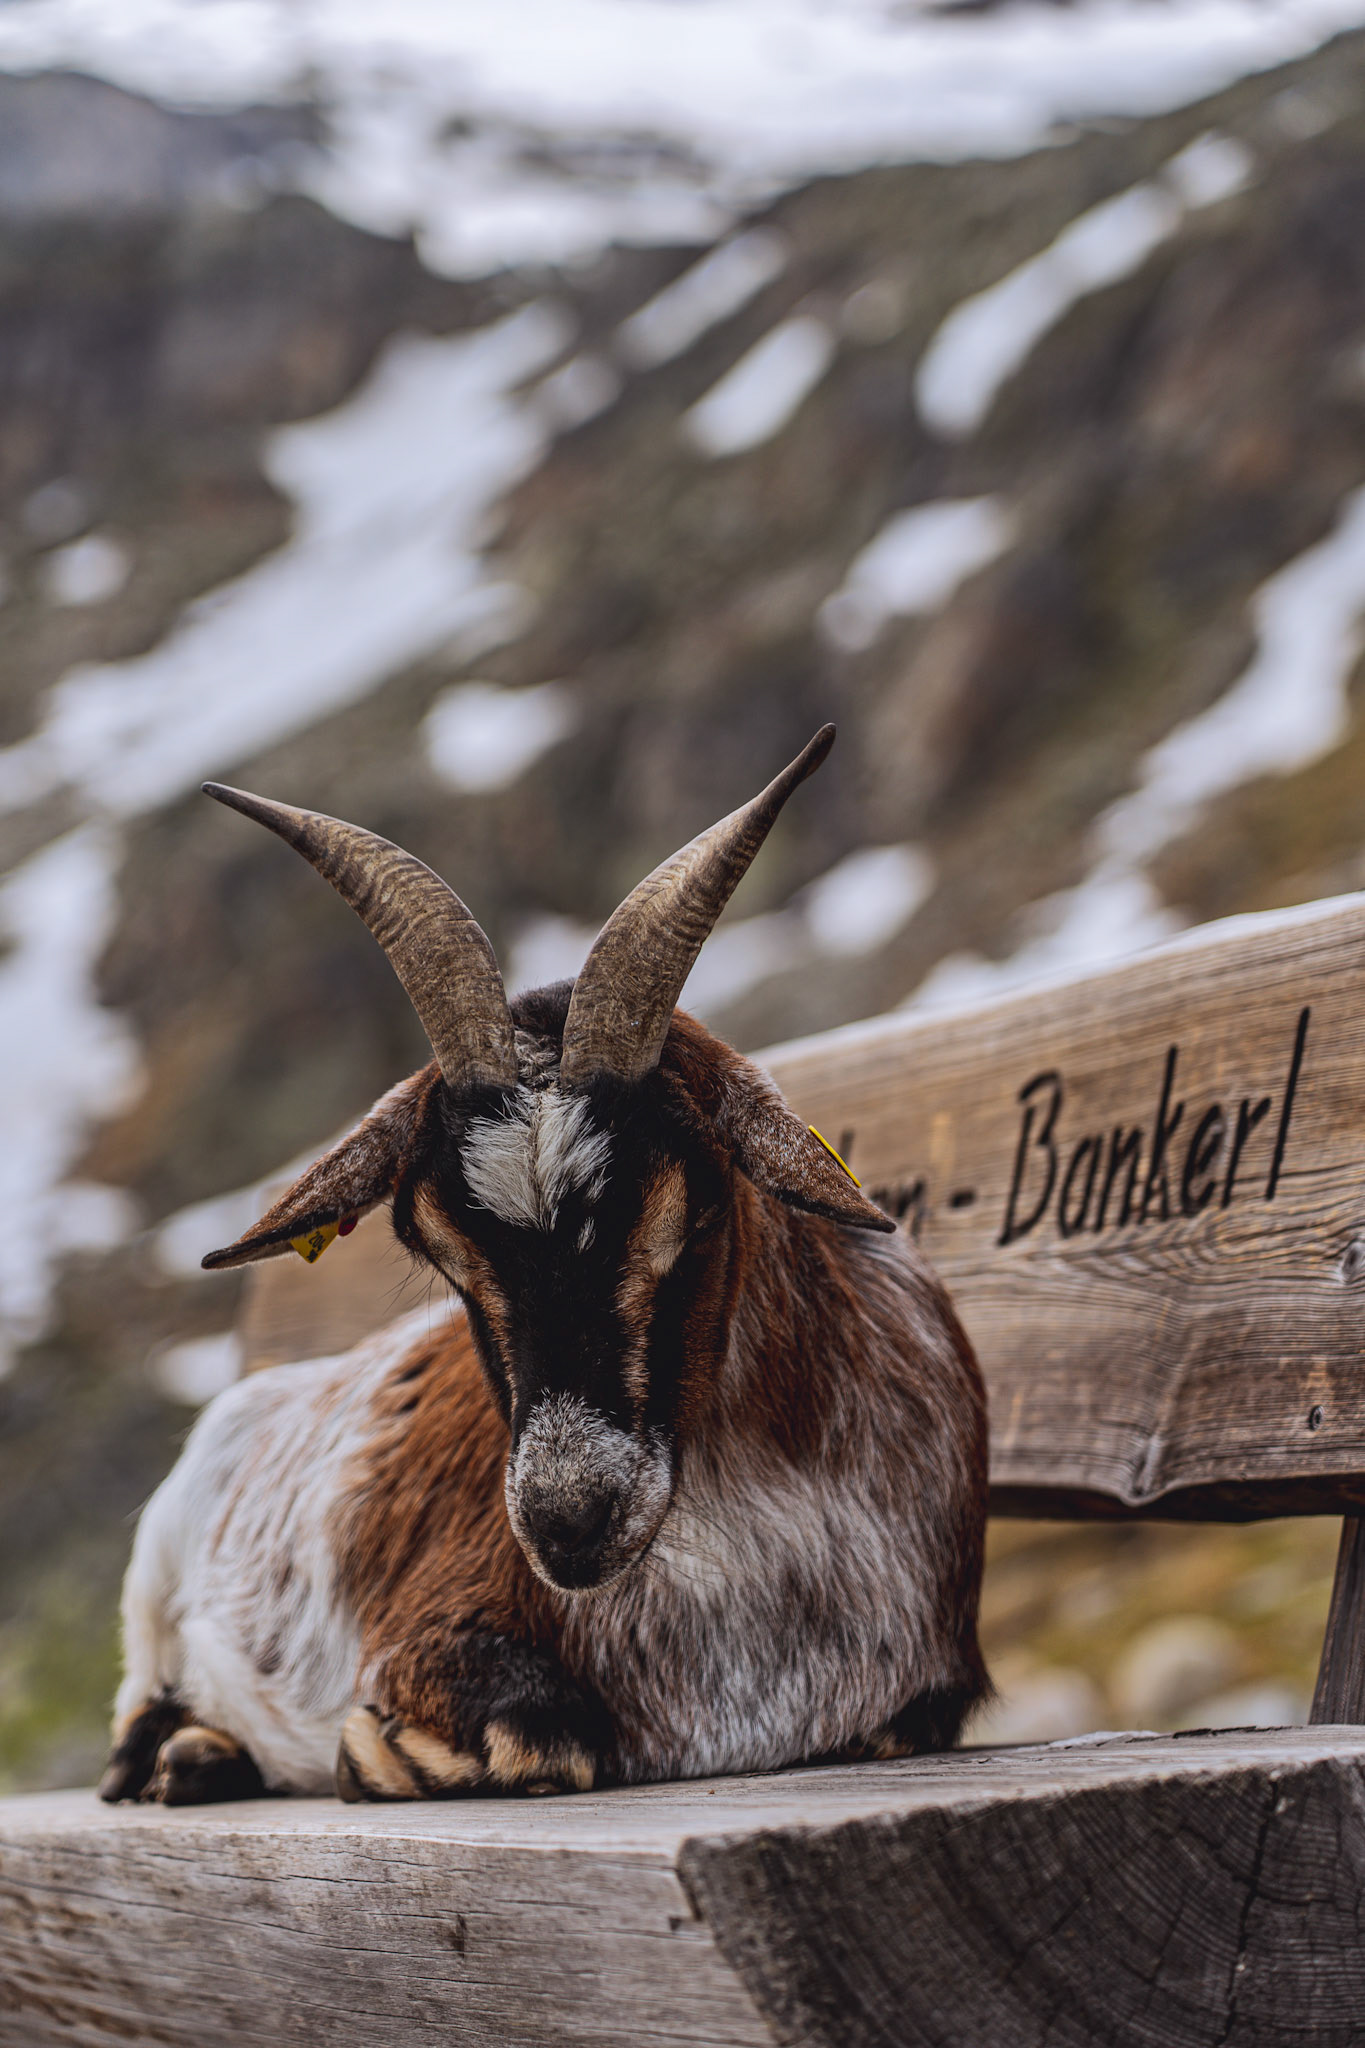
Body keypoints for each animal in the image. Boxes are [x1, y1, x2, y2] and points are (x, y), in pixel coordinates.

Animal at [100, 726, 989, 1805]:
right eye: (437, 1248)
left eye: (692, 1205)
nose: (566, 1522)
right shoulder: (425, 1635)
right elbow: (543, 1734)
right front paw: (369, 1751)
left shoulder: (927, 1690)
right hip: (152, 1596)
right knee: (134, 1724)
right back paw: (184, 1755)